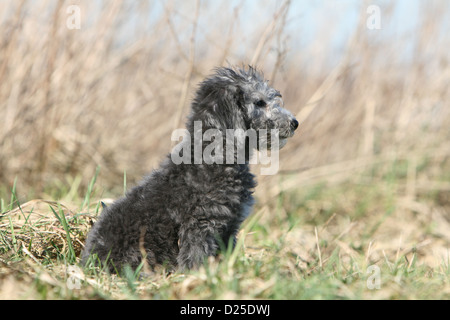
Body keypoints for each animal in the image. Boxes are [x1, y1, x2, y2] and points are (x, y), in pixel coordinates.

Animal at [81, 66, 298, 272]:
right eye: (259, 102)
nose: (295, 122)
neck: (216, 153)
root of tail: (89, 261)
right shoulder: (200, 227)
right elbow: (195, 258)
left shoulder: (228, 228)